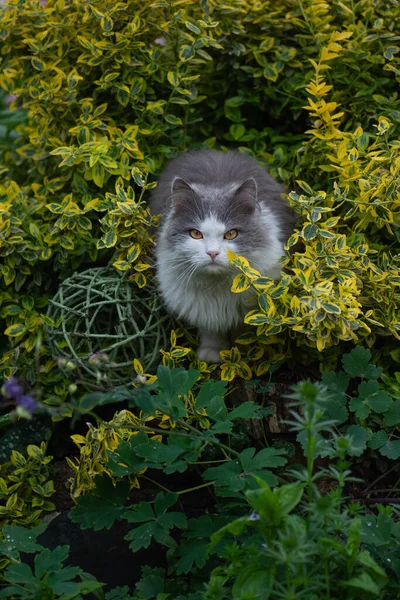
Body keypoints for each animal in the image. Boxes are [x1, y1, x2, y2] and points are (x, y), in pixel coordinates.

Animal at [148, 151, 296, 366]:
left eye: (231, 234)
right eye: (195, 234)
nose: (212, 253)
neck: (216, 287)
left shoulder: (247, 309)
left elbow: (241, 333)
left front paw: (241, 354)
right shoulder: (202, 308)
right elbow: (211, 331)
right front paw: (213, 354)